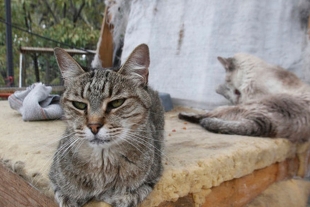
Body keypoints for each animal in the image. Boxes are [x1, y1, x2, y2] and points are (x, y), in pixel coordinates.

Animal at [48, 44, 165, 207]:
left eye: (116, 103)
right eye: (79, 105)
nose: (94, 126)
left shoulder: (152, 177)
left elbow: (131, 194)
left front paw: (115, 195)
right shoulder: (54, 178)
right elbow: (63, 193)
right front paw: (72, 198)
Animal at [178, 53, 310, 142]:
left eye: (228, 79)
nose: (236, 94)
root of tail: (267, 124)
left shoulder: (245, 98)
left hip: (244, 107)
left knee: (209, 115)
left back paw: (185, 115)